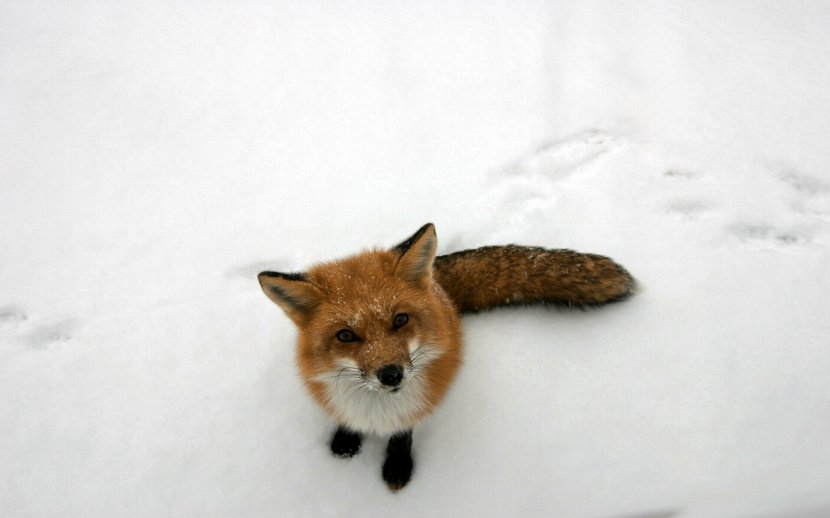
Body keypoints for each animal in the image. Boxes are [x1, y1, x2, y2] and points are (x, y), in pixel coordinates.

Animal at [260, 223, 636, 492]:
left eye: (400, 320)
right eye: (346, 336)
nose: (391, 374)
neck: (378, 412)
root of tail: (438, 285)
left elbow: (403, 435)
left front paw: (397, 467)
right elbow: (346, 421)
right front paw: (345, 443)